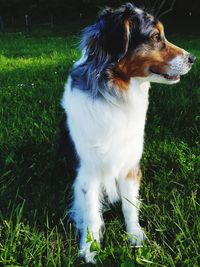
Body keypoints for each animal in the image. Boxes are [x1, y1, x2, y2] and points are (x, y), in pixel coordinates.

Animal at [61, 2, 195, 264]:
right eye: (155, 37)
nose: (193, 58)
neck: (115, 95)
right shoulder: (87, 170)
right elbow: (91, 213)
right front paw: (90, 248)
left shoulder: (129, 162)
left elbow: (129, 205)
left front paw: (135, 237)